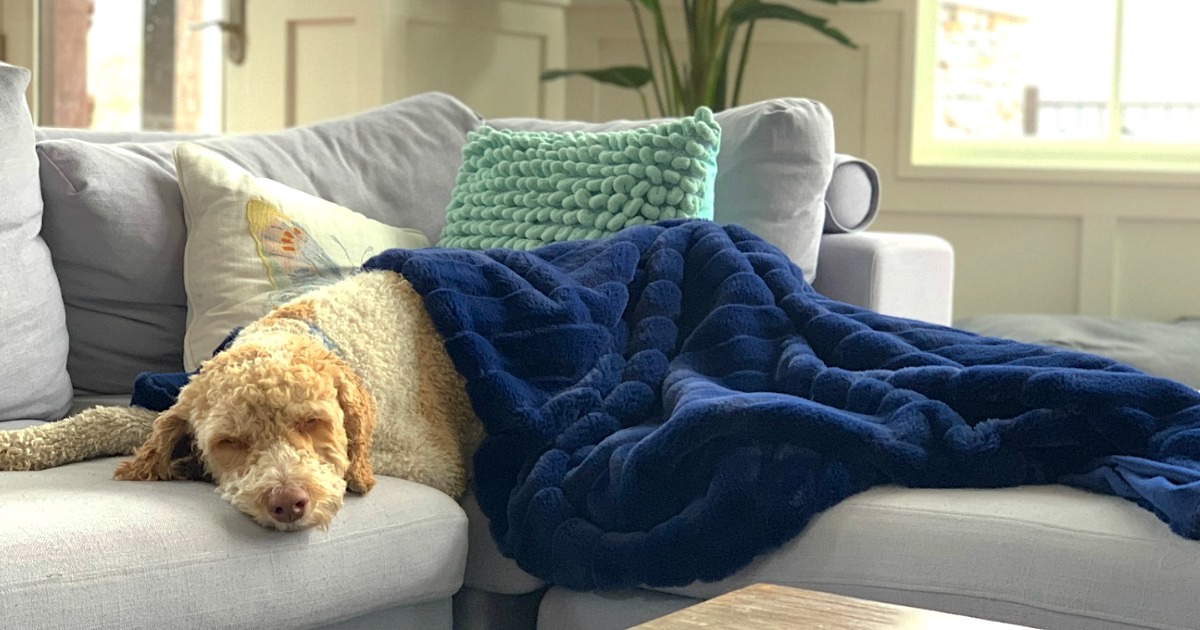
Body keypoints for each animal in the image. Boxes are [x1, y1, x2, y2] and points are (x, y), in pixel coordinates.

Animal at [5, 270, 482, 530]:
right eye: (229, 442)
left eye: (314, 422)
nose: (288, 503)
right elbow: (111, 419)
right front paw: (18, 444)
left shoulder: (433, 464)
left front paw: (188, 464)